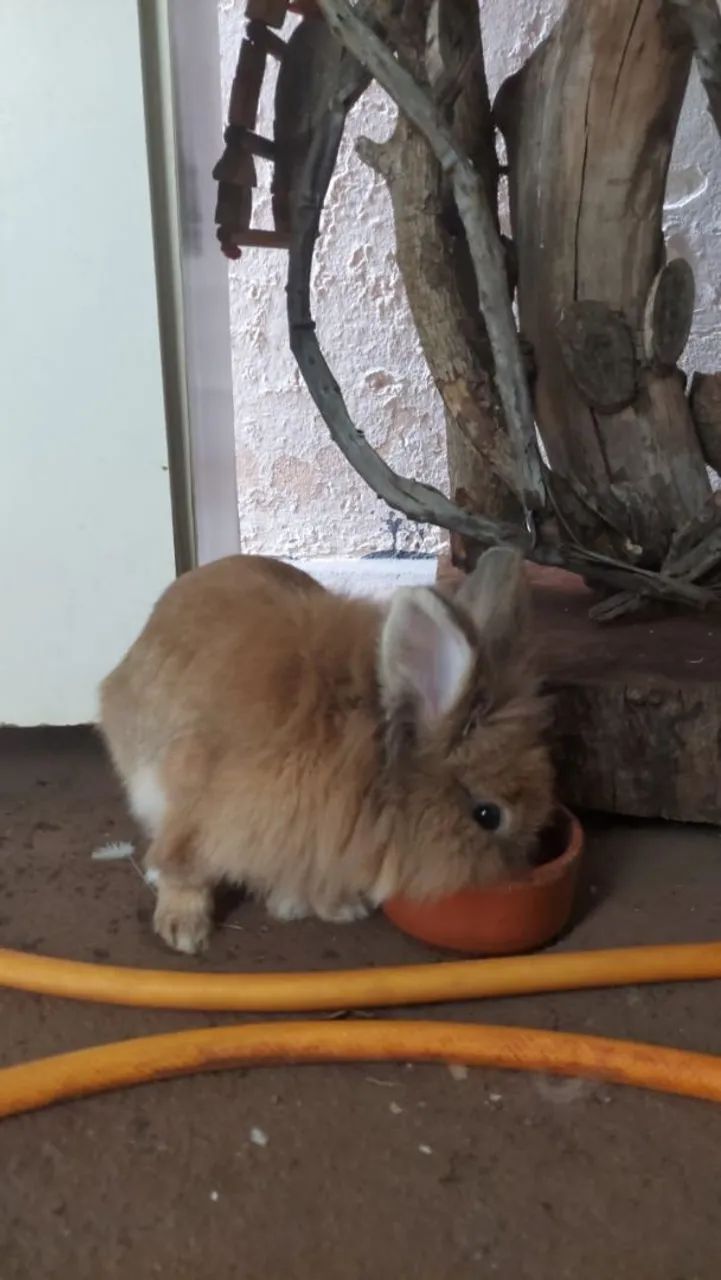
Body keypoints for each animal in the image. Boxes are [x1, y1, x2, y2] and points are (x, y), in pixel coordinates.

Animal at [99, 548, 553, 955]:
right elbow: (185, 868)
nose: (523, 867)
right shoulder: (200, 806)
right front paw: (184, 931)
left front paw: (331, 907)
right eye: (487, 815)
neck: (362, 758)